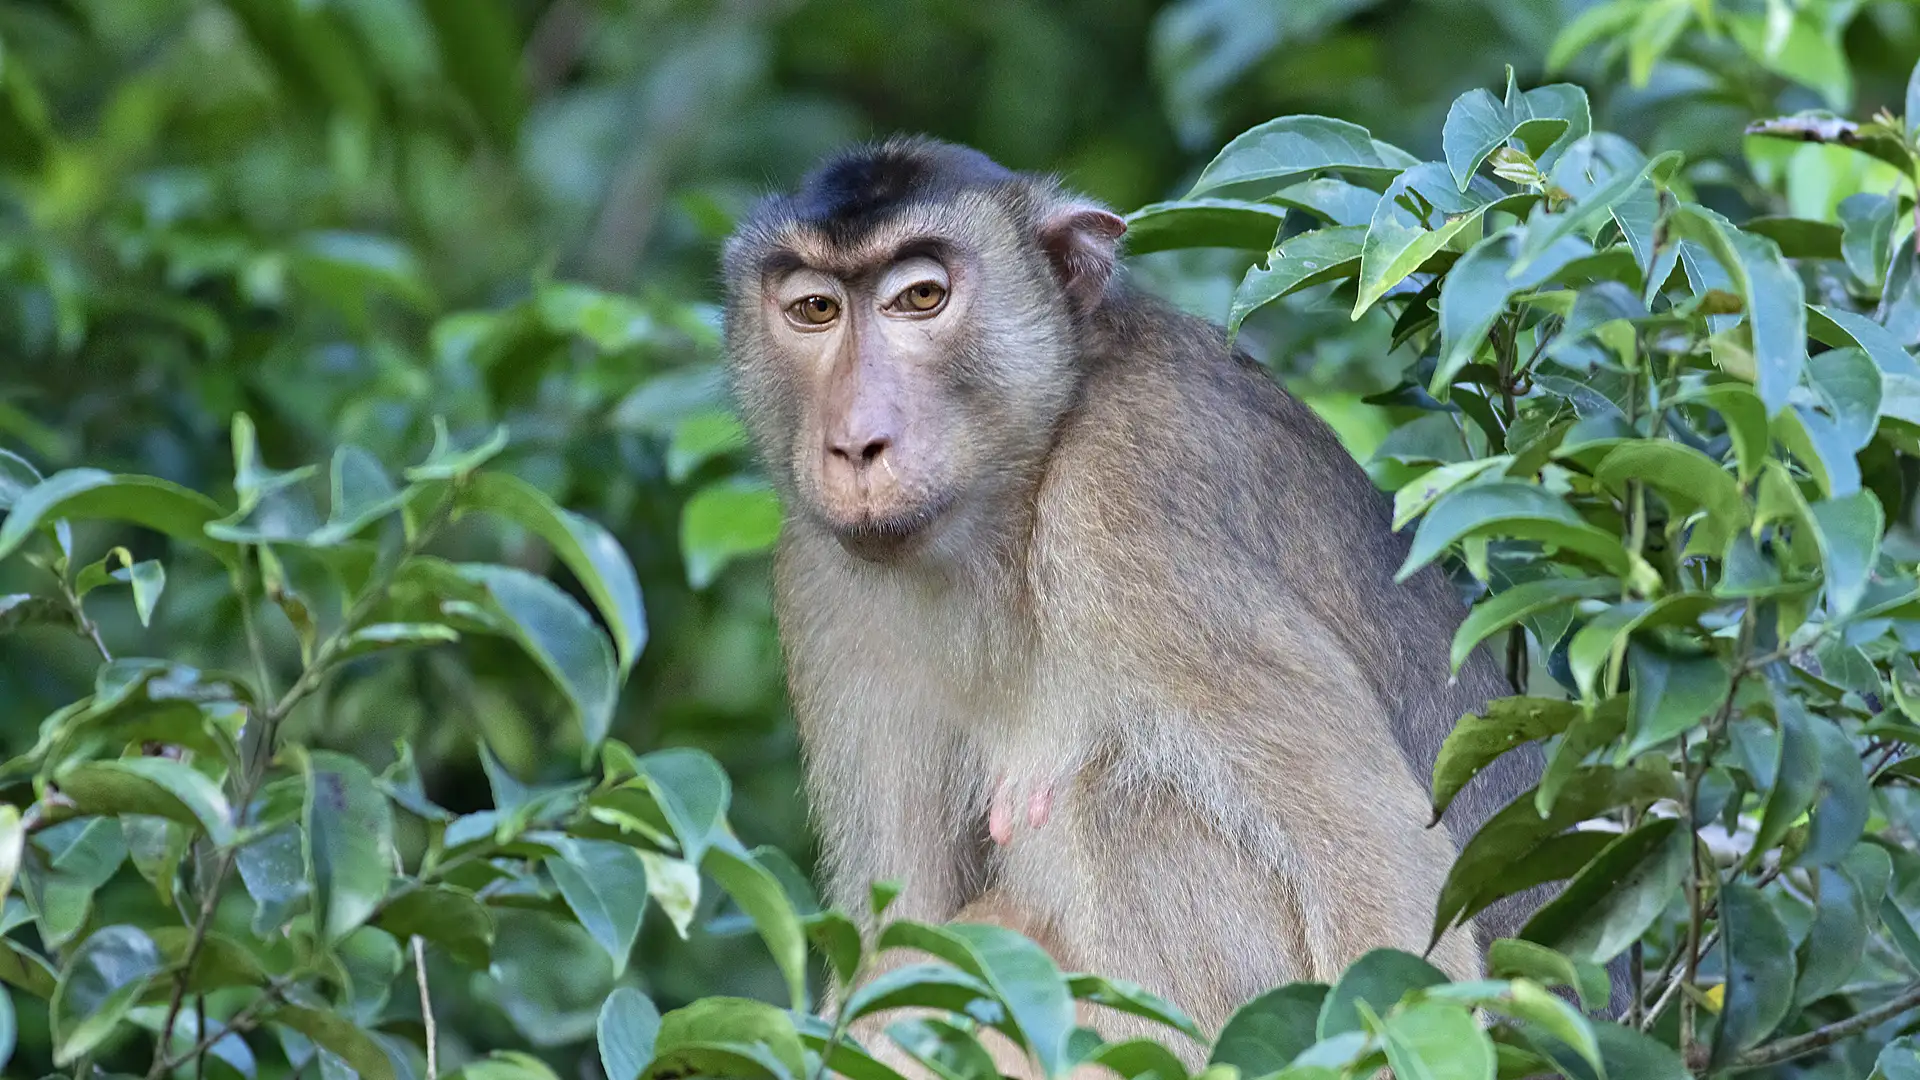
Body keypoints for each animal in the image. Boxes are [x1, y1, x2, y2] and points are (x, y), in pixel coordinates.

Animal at [719, 136, 1581, 1073]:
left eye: (921, 298)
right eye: (813, 309)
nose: (854, 443)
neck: (1015, 503)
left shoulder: (1129, 502)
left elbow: (1381, 863)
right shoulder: (818, 579)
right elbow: (899, 926)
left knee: (1126, 810)